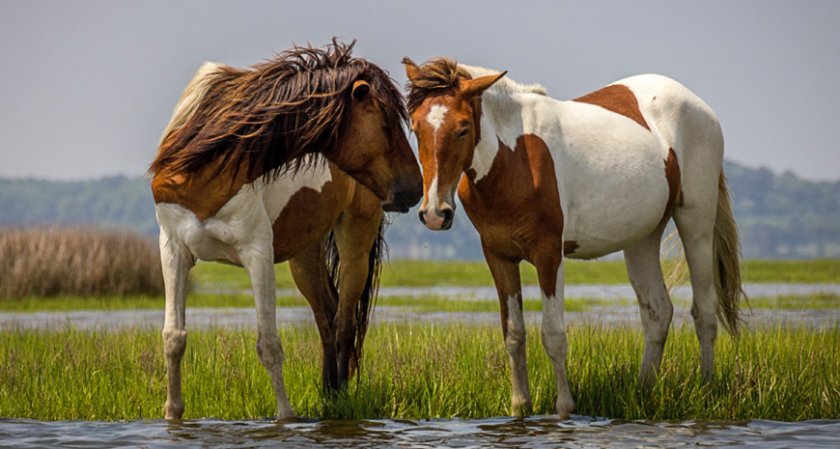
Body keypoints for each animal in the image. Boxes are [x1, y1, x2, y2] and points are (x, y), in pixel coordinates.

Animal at [148, 40, 424, 418]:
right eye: (386, 123)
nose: (416, 188)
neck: (205, 165)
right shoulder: (173, 250)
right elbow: (173, 337)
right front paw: (172, 413)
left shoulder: (257, 254)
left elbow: (268, 344)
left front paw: (285, 417)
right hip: (305, 254)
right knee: (327, 316)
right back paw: (329, 394)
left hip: (356, 237)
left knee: (344, 323)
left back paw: (340, 398)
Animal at [404, 57, 744, 418]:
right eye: (416, 127)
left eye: (463, 128)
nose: (435, 213)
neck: (513, 158)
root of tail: (700, 107)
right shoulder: (499, 255)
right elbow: (514, 334)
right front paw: (520, 407)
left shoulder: (549, 254)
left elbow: (553, 335)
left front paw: (564, 408)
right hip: (643, 237)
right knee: (657, 312)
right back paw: (643, 392)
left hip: (696, 222)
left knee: (704, 312)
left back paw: (706, 390)